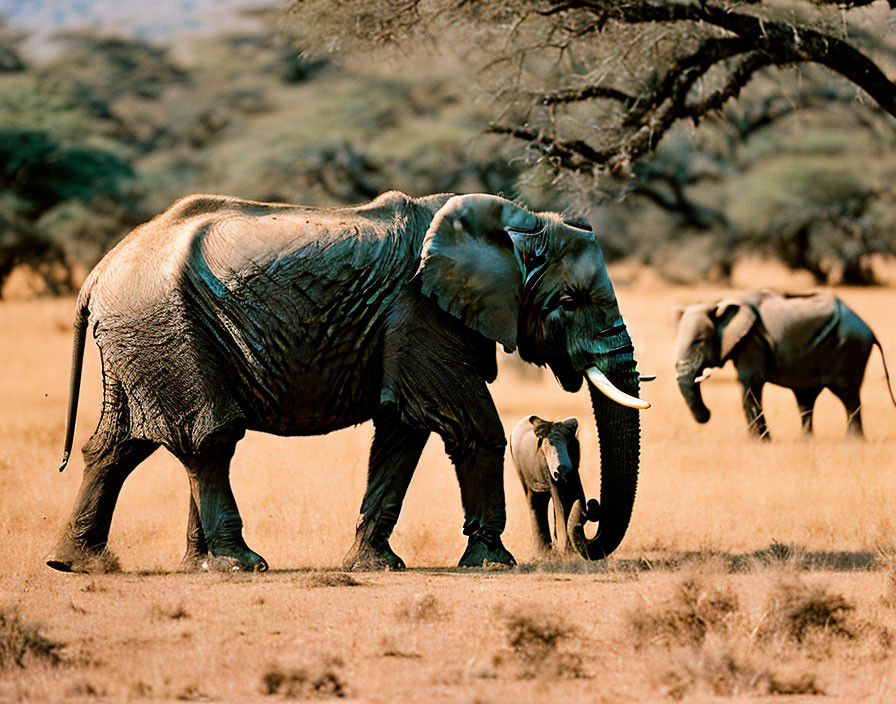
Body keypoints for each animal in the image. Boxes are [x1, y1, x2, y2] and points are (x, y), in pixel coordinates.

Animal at [508, 416, 600, 560]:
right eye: (546, 447)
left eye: (569, 444)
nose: (591, 505)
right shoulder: (545, 464)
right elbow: (560, 501)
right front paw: (567, 553)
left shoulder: (575, 461)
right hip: (519, 464)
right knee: (533, 499)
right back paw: (544, 553)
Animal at [672, 288, 896, 438]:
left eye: (699, 341)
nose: (708, 414)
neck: (719, 302)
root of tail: (870, 330)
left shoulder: (751, 340)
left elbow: (749, 382)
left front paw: (760, 443)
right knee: (806, 399)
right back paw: (806, 442)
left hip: (848, 347)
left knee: (847, 396)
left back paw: (852, 442)